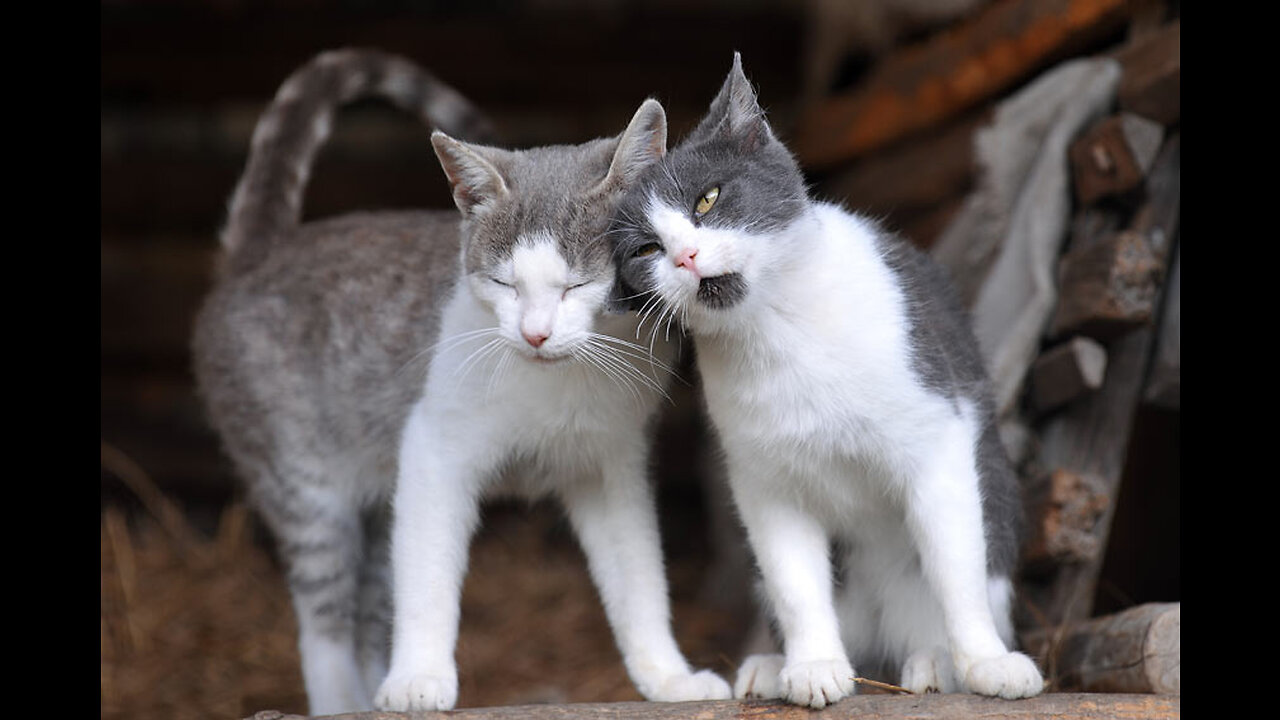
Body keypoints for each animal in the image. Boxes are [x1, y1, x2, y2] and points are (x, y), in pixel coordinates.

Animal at [189, 49, 732, 712]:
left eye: (578, 285)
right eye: (503, 283)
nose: (534, 334)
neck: (557, 384)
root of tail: (257, 255)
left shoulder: (611, 465)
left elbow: (638, 576)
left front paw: (669, 677)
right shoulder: (432, 448)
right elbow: (426, 573)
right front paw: (419, 678)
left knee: (368, 604)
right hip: (302, 483)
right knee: (326, 617)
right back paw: (342, 701)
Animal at [604, 56, 1044, 707]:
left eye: (708, 199)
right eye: (645, 250)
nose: (684, 257)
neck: (780, 327)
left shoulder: (939, 441)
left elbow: (957, 567)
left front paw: (986, 662)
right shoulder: (764, 482)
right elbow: (795, 581)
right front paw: (812, 665)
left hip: (992, 484)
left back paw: (935, 662)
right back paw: (771, 665)